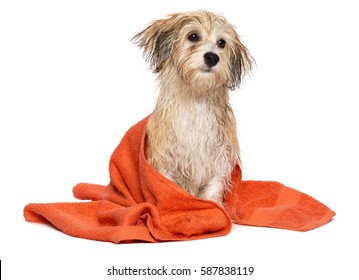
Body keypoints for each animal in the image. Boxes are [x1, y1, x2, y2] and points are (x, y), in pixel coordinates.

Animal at [132, 10, 253, 206]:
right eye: (193, 36)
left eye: (222, 42)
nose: (212, 57)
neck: (196, 100)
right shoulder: (165, 162)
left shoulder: (219, 159)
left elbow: (213, 188)